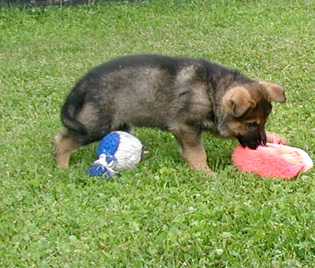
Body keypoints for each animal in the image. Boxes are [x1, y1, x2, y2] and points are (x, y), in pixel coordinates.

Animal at [54, 54, 286, 174]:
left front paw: (277, 138)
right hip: (97, 124)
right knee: (63, 137)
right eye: (251, 124)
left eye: (262, 123)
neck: (212, 91)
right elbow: (198, 153)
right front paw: (205, 173)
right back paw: (62, 165)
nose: (261, 145)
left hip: (120, 124)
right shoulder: (186, 127)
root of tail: (83, 84)